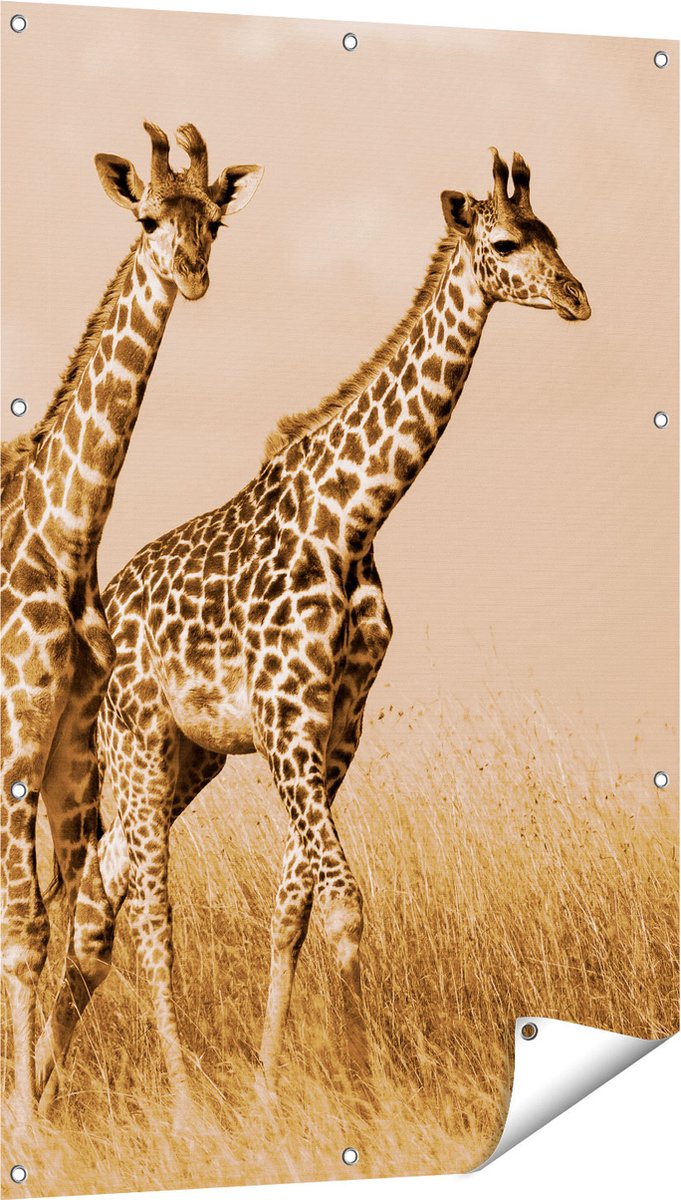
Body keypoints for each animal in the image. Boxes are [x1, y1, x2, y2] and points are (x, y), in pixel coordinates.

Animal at [1, 121, 263, 1122]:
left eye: (214, 221)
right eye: (147, 216)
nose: (190, 273)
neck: (66, 540)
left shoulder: (73, 751)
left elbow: (73, 924)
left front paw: (37, 1110)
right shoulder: (16, 736)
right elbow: (24, 928)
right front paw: (27, 1126)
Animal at [38, 150, 590, 1119]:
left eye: (552, 234)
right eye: (503, 243)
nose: (575, 296)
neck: (354, 518)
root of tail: (104, 610)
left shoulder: (336, 728)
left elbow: (292, 906)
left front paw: (270, 1088)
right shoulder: (286, 719)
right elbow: (341, 901)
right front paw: (369, 1088)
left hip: (191, 756)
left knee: (104, 890)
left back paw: (38, 1093)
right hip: (135, 741)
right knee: (144, 905)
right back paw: (181, 1105)